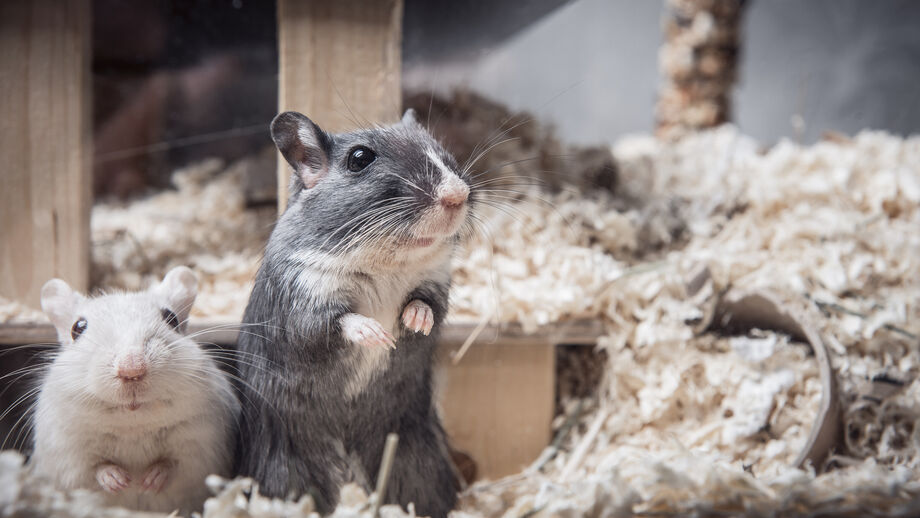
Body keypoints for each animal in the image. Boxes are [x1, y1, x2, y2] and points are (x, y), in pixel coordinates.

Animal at [31, 267, 240, 515]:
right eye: (78, 328)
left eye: (171, 318)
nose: (132, 369)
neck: (133, 424)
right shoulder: (68, 450)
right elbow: (96, 467)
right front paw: (120, 481)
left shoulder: (200, 442)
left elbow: (173, 463)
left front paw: (148, 481)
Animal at [234, 109, 472, 517]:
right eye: (360, 159)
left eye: (441, 149)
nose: (458, 195)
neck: (385, 260)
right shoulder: (305, 297)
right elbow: (337, 321)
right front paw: (378, 335)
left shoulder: (435, 282)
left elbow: (428, 305)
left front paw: (413, 323)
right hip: (284, 471)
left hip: (417, 465)